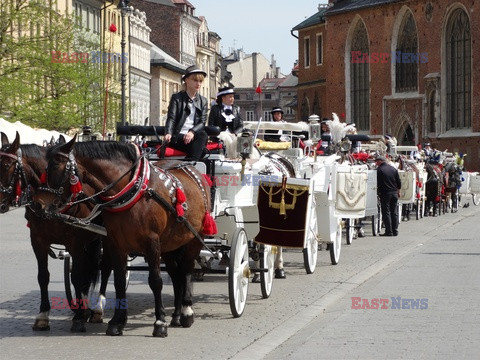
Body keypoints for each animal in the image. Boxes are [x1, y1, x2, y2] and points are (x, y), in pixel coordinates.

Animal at [0, 132, 103, 332]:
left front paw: (78, 318)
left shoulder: (75, 242)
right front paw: (43, 315)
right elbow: (43, 276)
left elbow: (77, 276)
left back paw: (97, 308)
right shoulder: (38, 240)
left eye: (6, 166)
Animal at [32, 136, 213, 336]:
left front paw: (159, 323)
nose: (37, 205)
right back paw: (176, 315)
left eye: (55, 165)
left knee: (187, 270)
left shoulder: (152, 242)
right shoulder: (116, 243)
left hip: (195, 238)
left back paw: (187, 312)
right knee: (176, 274)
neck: (131, 190)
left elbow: (155, 281)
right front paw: (117, 322)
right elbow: (118, 280)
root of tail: (193, 170)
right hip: (170, 244)